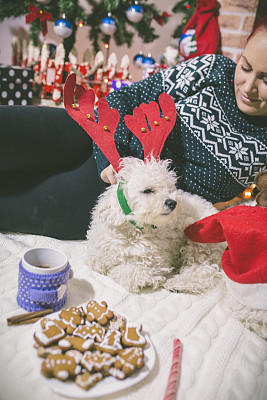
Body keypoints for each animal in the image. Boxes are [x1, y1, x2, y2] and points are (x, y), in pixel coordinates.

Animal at [86, 157, 226, 294]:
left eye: (169, 189)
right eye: (147, 190)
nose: (172, 202)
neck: (134, 230)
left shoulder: (152, 266)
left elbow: (126, 273)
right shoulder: (98, 253)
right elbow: (99, 261)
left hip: (199, 239)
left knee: (203, 270)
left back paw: (178, 284)